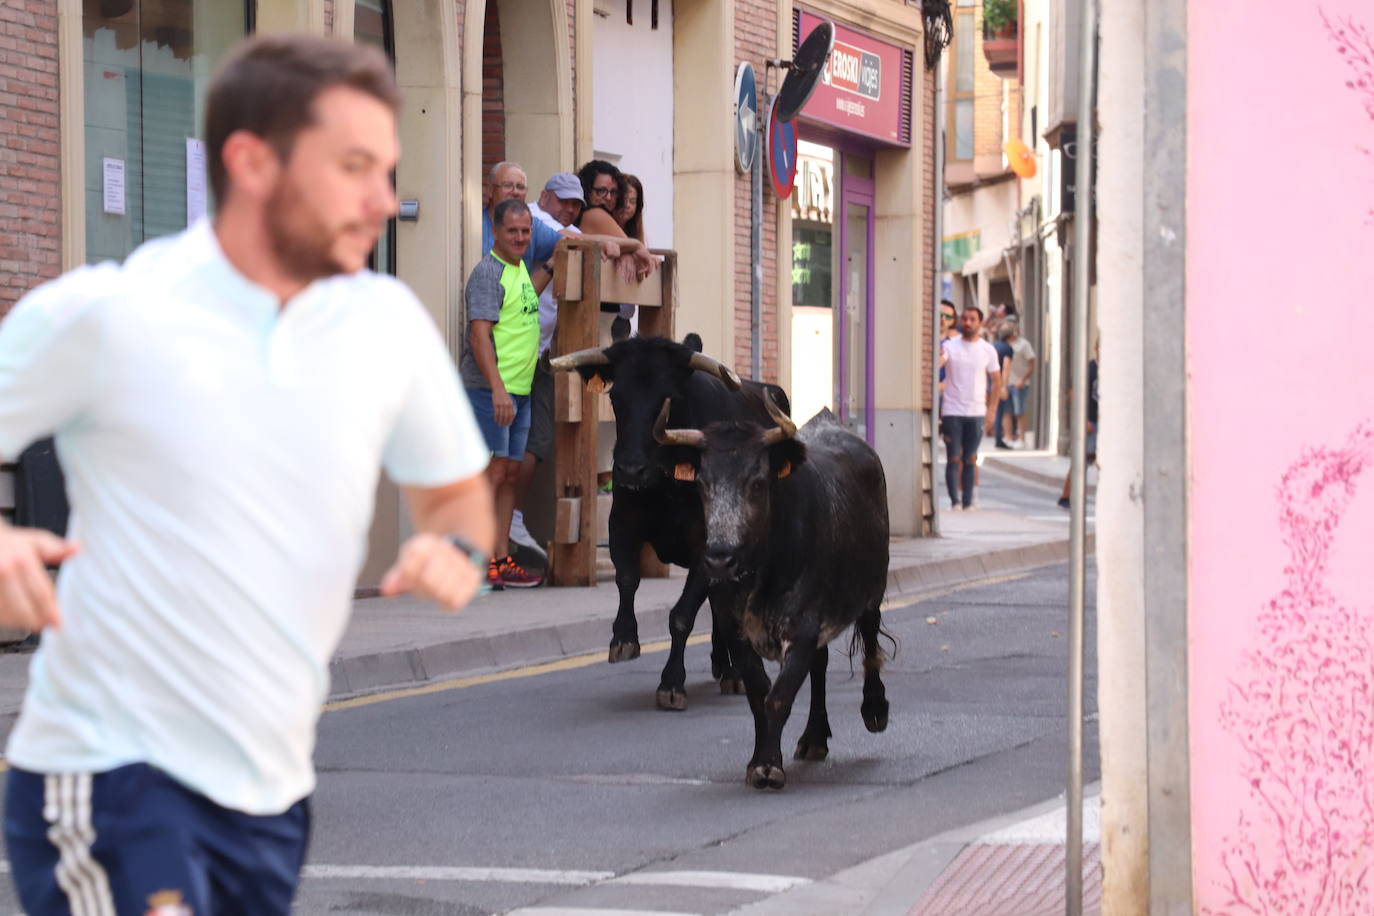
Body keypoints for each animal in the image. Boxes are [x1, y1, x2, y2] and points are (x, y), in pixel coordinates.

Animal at [544, 336, 785, 708]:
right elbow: (627, 579)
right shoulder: (621, 523)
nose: (630, 469)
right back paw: (726, 667)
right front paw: (623, 638)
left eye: (668, 397)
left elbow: (682, 616)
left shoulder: (708, 547)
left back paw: (733, 671)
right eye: (615, 397)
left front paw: (671, 683)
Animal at [654, 395, 890, 791]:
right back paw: (814, 737)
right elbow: (758, 693)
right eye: (702, 484)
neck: (760, 573)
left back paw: (874, 709)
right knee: (820, 665)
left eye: (757, 483)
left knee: (870, 640)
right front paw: (759, 761)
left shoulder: (804, 625)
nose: (718, 560)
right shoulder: (736, 630)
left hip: (873, 588)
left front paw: (768, 766)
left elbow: (780, 696)